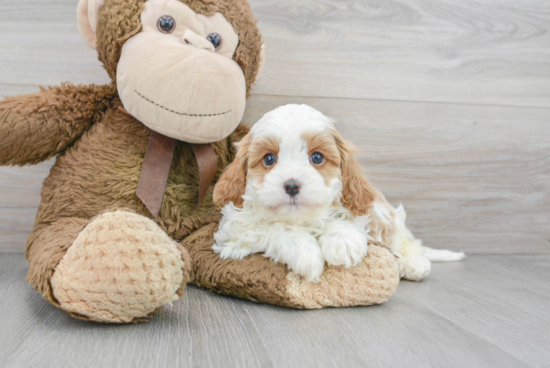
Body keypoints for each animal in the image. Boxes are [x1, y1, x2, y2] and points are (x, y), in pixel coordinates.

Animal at [213, 105, 464, 284]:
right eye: (269, 159)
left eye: (316, 157)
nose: (292, 185)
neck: (303, 219)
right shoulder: (233, 232)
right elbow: (274, 226)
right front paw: (306, 253)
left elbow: (342, 219)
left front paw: (342, 242)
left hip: (386, 215)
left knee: (404, 241)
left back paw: (413, 263)